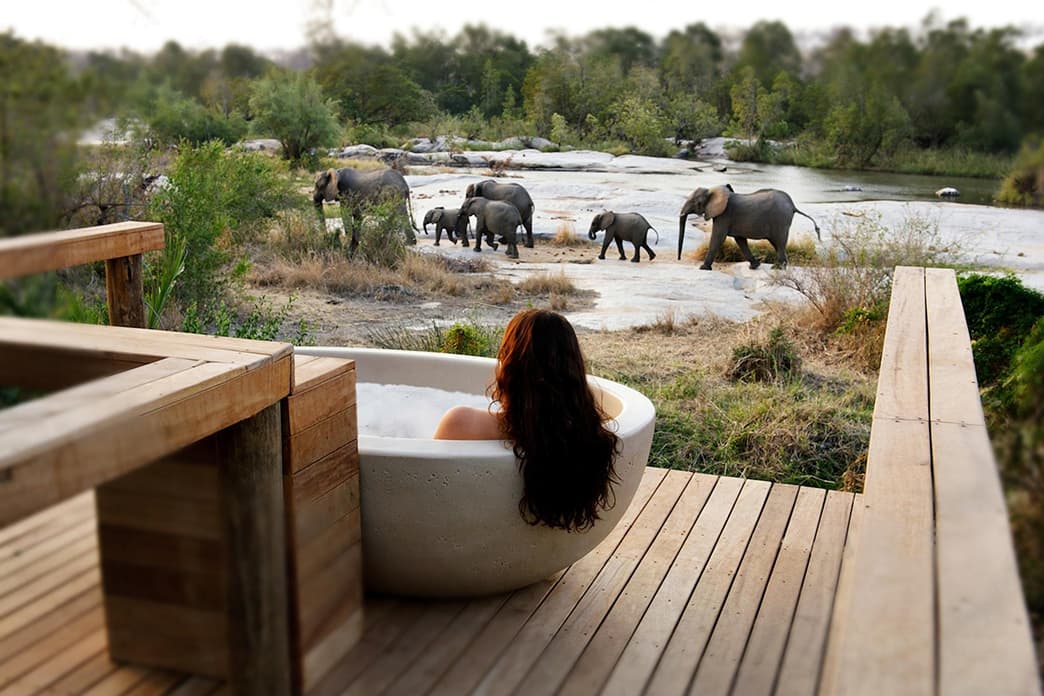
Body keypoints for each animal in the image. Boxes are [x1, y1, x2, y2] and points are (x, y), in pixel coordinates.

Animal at [677, 186, 821, 270]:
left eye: (695, 202)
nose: (679, 259)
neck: (713, 190)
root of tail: (793, 206)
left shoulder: (724, 215)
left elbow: (718, 238)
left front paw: (703, 268)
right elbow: (740, 240)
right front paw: (754, 266)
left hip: (780, 219)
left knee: (779, 242)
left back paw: (777, 268)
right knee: (777, 243)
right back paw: (782, 266)